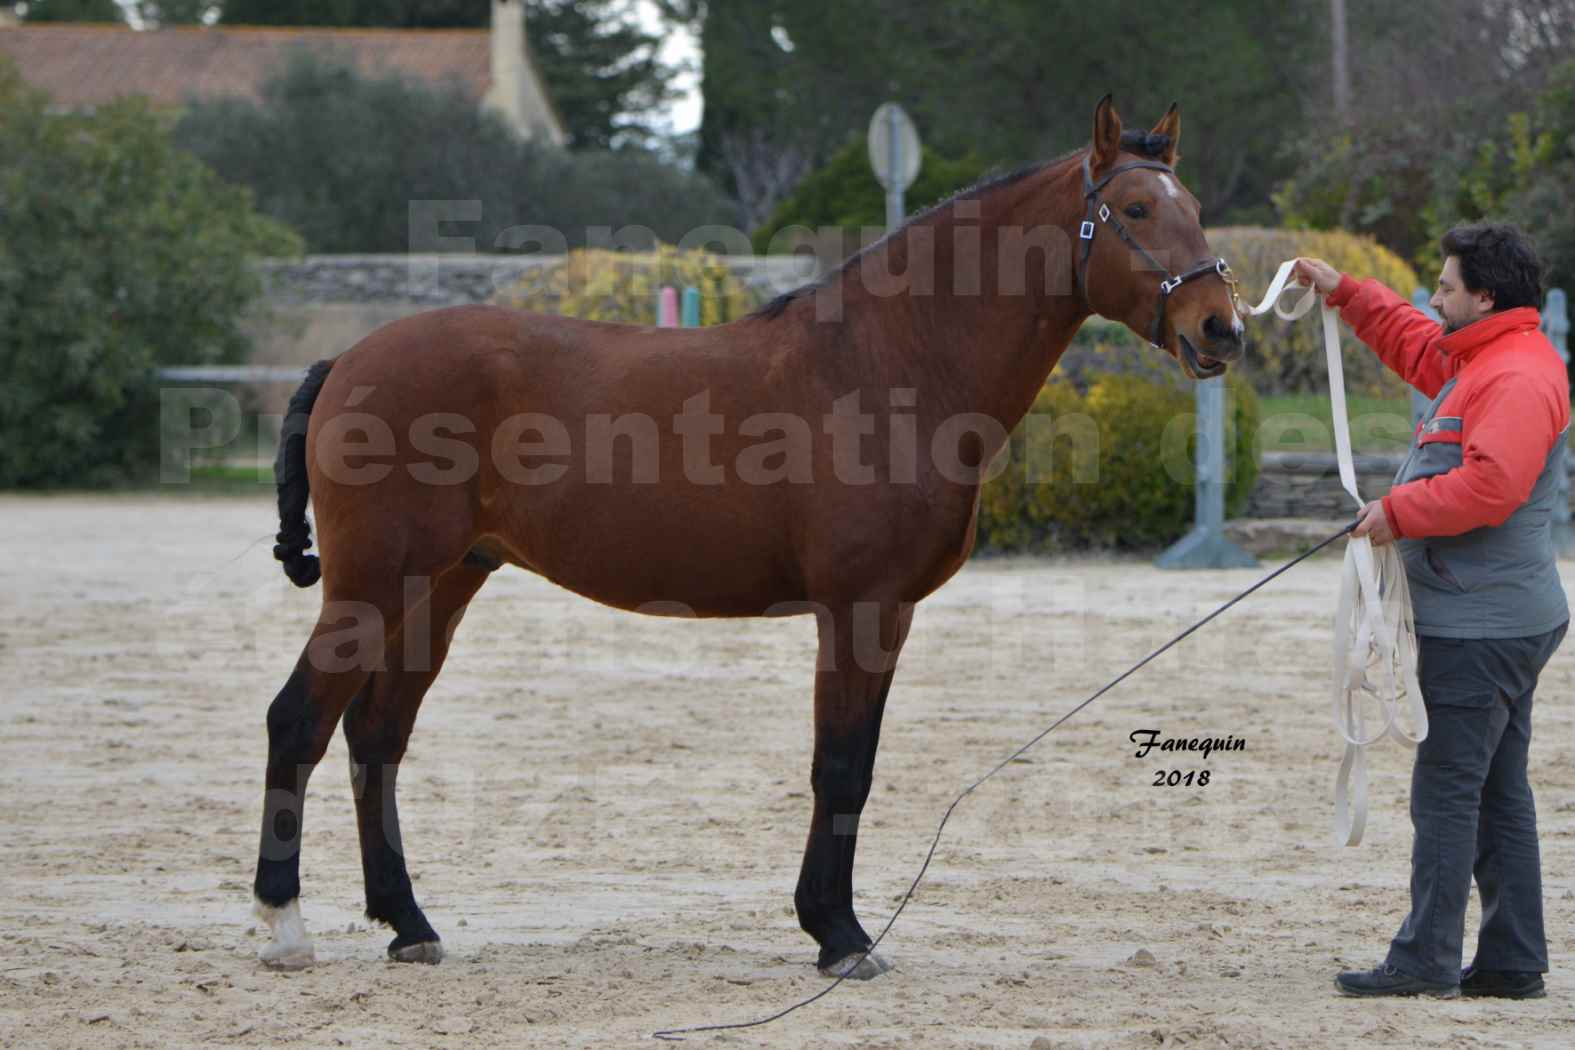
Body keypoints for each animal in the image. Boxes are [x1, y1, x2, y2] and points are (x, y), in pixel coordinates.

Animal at [252, 96, 1247, 976]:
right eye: (1133, 209)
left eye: (1196, 209)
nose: (1221, 327)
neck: (888, 365)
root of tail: (348, 360)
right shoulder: (860, 609)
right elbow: (840, 768)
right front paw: (840, 936)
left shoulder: (880, 615)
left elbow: (852, 766)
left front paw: (832, 925)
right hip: (373, 585)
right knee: (299, 720)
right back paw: (283, 927)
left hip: (444, 582)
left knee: (377, 736)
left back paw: (407, 924)